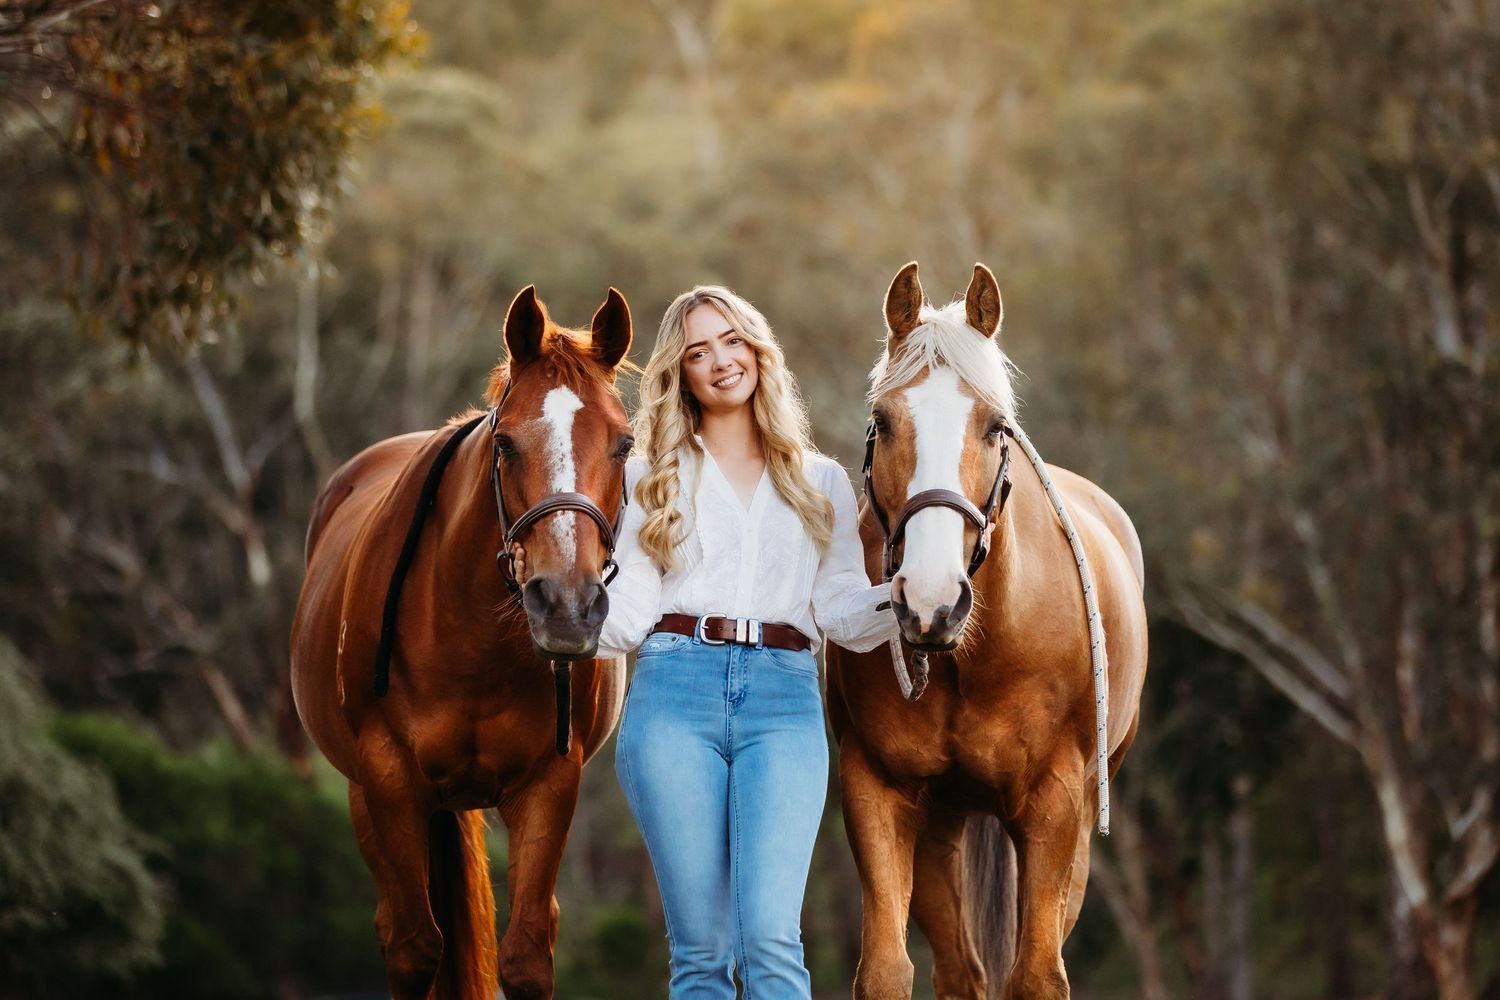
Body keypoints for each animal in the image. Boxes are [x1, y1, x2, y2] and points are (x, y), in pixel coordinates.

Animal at [289, 285, 635, 1000]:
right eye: (504, 444)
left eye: (624, 443)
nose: (567, 606)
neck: (474, 643)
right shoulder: (389, 777)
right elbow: (416, 949)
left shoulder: (548, 782)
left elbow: (525, 955)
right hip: (369, 796)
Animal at [826, 262, 1149, 1000]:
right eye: (882, 422)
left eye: (995, 427)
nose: (931, 601)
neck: (972, 656)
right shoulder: (877, 790)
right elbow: (885, 971)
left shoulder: (1056, 805)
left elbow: (1035, 978)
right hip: (942, 824)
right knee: (962, 971)